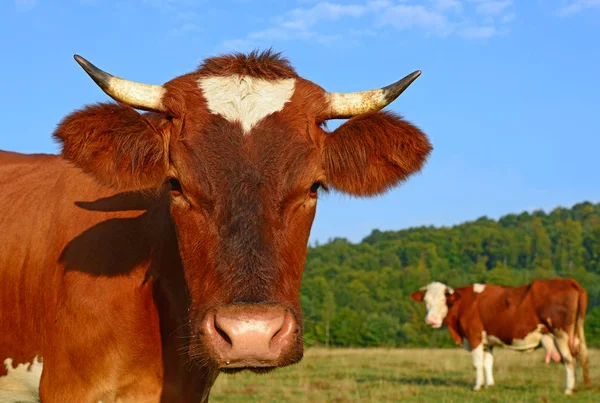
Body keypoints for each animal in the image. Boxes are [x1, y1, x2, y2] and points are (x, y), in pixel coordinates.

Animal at [410, 280, 588, 396]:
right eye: (426, 300)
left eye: (444, 300)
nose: (431, 320)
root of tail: (568, 281)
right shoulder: (487, 342)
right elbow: (488, 363)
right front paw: (489, 385)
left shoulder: (474, 336)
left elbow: (477, 364)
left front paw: (477, 386)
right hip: (575, 335)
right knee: (579, 356)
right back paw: (577, 386)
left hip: (561, 334)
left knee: (569, 360)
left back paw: (568, 389)